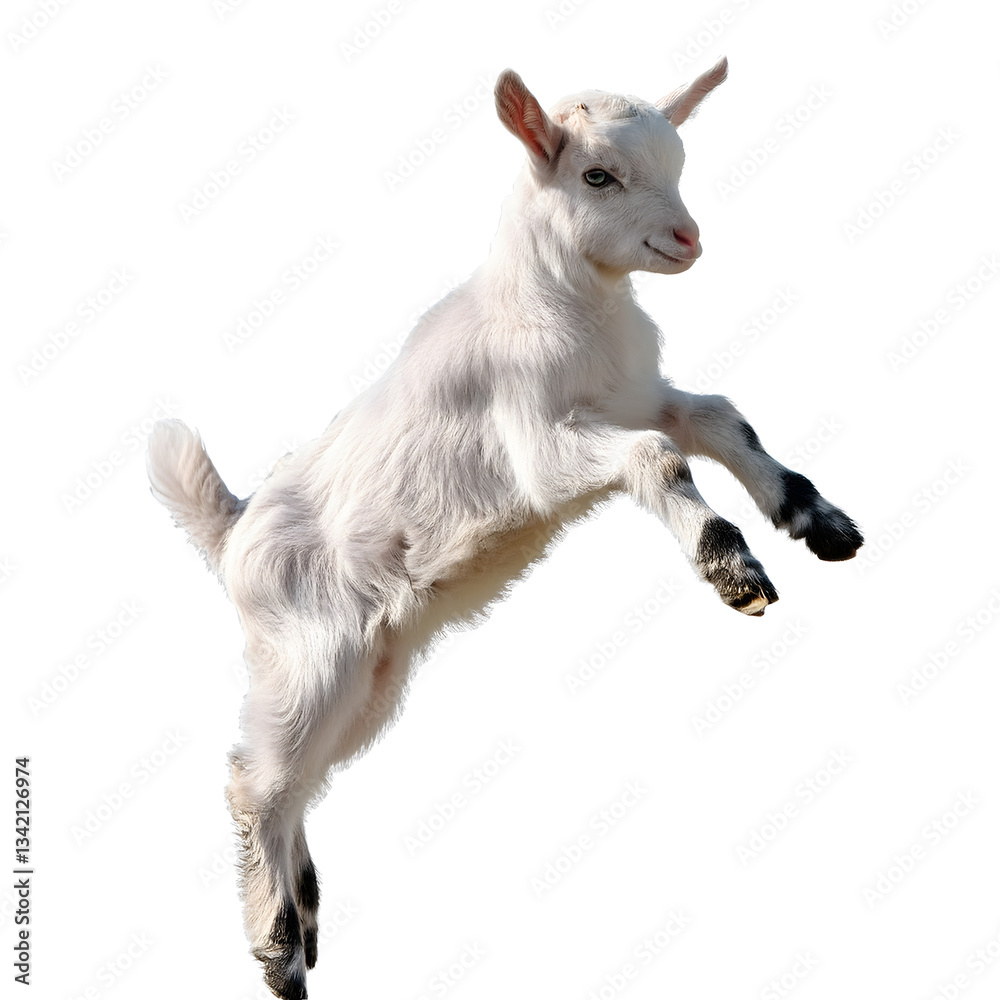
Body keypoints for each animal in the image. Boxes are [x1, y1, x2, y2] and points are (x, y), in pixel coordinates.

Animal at [147, 58, 863, 999]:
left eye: (678, 162)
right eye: (597, 176)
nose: (687, 239)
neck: (560, 306)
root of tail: (232, 536)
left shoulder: (635, 394)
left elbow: (717, 416)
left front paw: (816, 518)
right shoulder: (542, 448)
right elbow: (657, 457)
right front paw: (733, 572)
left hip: (370, 674)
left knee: (295, 780)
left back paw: (303, 914)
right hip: (309, 655)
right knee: (253, 780)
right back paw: (277, 950)